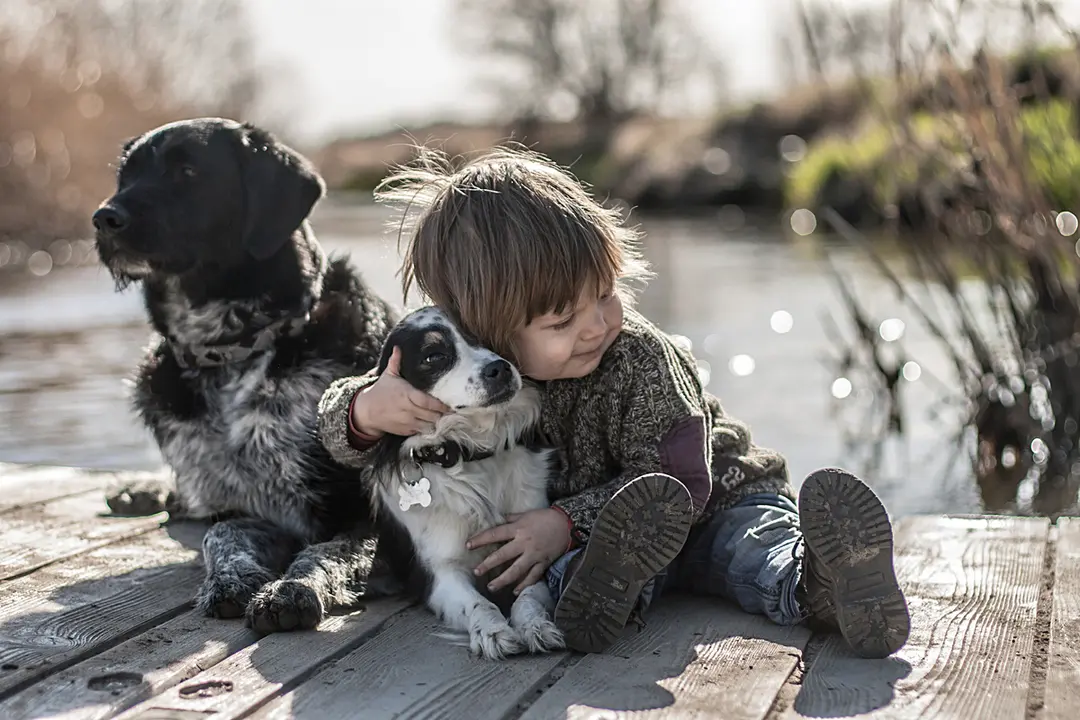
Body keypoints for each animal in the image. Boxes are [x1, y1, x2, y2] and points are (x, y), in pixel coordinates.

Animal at [90, 117, 406, 630]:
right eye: (125, 175)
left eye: (187, 171)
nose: (104, 217)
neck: (233, 353)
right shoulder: (245, 507)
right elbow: (219, 536)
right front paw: (229, 579)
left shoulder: (366, 519)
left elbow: (324, 551)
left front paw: (291, 589)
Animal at [365, 308, 565, 660]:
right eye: (434, 356)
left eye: (482, 333)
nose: (498, 368)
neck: (470, 452)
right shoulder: (440, 573)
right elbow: (478, 604)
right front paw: (494, 632)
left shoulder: (529, 552)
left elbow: (528, 596)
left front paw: (535, 627)